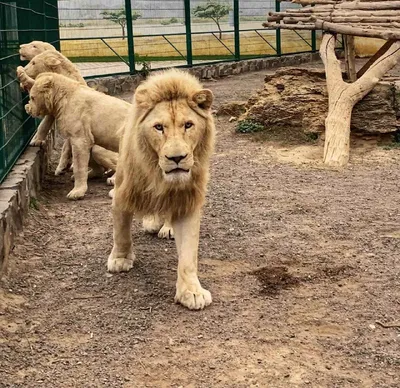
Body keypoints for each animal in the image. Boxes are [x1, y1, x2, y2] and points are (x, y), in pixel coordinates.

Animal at [25, 72, 130, 200]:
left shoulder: (80, 139)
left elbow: (78, 166)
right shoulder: (75, 137)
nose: (28, 109)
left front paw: (76, 192)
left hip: (104, 149)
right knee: (100, 169)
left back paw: (113, 181)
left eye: (32, 97)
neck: (61, 99)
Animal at [107, 69, 216, 310]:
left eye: (188, 125)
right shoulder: (123, 190)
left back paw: (166, 227)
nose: (176, 158)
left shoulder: (187, 199)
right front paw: (120, 259)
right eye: (159, 127)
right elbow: (121, 229)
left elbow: (188, 254)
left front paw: (192, 292)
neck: (158, 175)